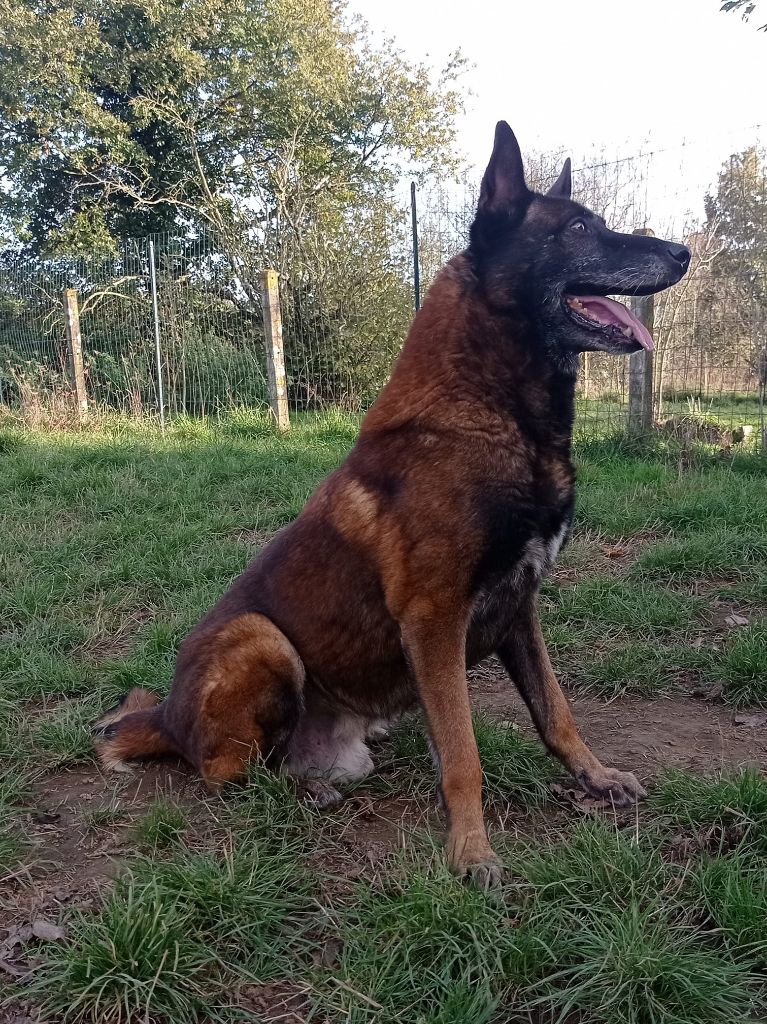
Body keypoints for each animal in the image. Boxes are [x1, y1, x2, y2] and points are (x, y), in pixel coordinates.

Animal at [95, 122, 690, 887]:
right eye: (581, 228)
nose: (682, 252)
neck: (491, 415)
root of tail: (166, 716)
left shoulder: (519, 608)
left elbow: (554, 712)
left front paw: (595, 777)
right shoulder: (435, 617)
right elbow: (464, 757)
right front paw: (471, 850)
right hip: (258, 638)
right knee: (227, 772)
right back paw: (298, 791)